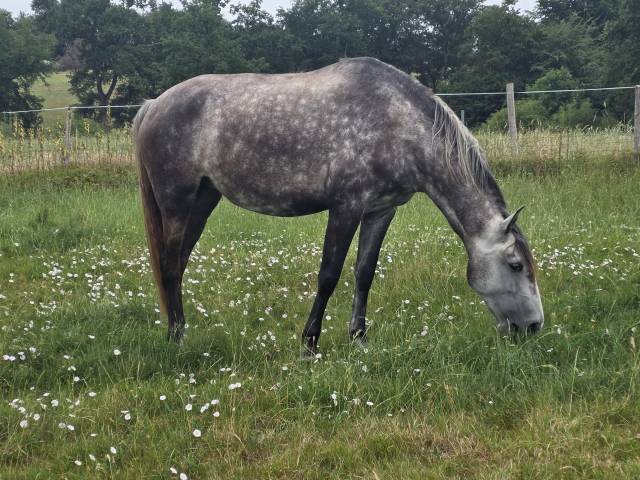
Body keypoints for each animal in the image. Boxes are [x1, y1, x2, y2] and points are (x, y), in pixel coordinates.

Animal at [133, 57, 544, 354]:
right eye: (516, 264)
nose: (534, 326)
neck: (396, 123)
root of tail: (153, 105)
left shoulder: (380, 211)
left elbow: (364, 273)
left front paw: (359, 338)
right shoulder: (345, 207)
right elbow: (328, 275)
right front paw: (310, 344)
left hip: (203, 199)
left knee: (179, 262)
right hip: (177, 202)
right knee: (170, 264)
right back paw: (177, 337)